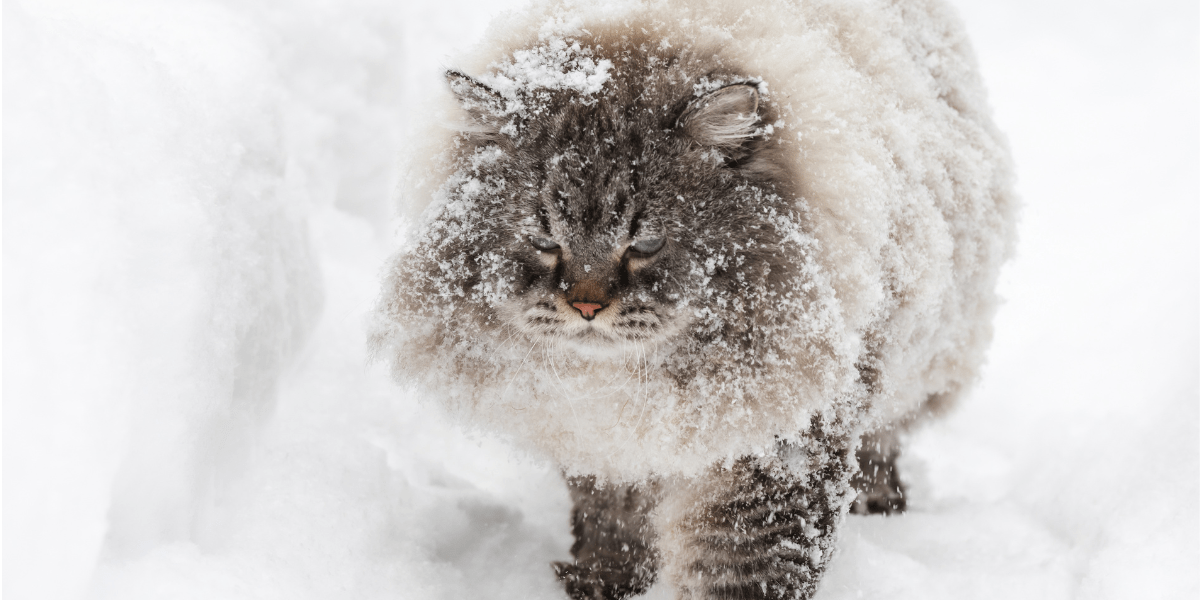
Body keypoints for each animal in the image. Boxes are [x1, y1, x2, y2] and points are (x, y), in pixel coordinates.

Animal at [369, 2, 1017, 597]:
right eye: (544, 241)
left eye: (646, 243)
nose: (586, 307)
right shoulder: (598, 438)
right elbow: (612, 522)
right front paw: (605, 581)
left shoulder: (775, 445)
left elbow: (738, 568)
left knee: (886, 445)